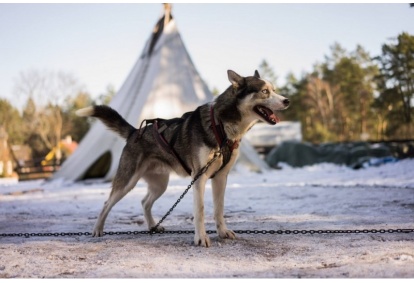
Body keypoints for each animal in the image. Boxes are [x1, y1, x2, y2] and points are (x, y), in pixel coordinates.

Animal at [76, 70, 290, 247]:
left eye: (274, 90)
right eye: (264, 91)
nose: (287, 100)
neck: (221, 127)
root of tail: (135, 131)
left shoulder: (221, 178)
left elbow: (219, 209)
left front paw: (222, 232)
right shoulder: (199, 177)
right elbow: (200, 211)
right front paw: (201, 238)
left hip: (160, 185)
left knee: (145, 202)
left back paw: (153, 226)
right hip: (127, 182)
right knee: (107, 203)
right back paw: (97, 229)